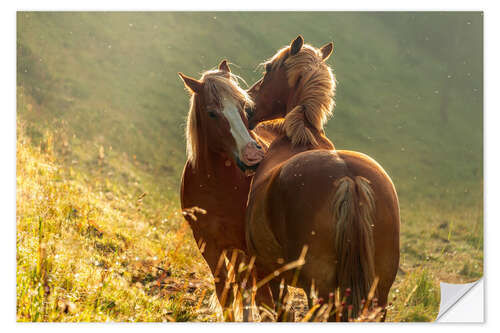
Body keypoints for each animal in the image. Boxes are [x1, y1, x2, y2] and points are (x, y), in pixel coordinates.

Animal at [178, 60, 278, 316]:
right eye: (212, 113)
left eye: (243, 105)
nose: (253, 157)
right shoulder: (207, 243)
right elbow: (227, 293)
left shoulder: (250, 252)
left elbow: (258, 298)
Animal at [244, 35, 400, 318]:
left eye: (268, 69)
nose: (248, 106)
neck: (299, 138)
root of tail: (349, 179)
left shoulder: (269, 272)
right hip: (379, 294)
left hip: (319, 289)